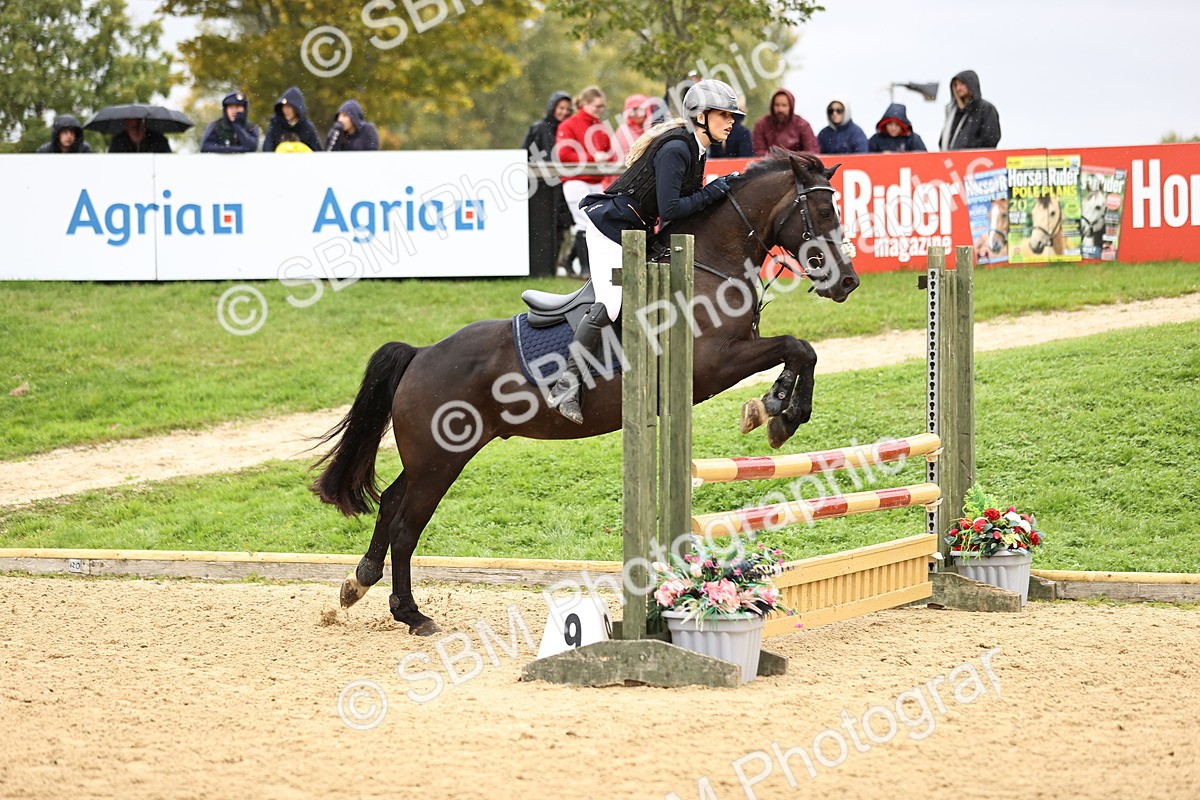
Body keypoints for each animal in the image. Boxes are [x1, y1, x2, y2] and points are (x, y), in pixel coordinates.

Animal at [310, 150, 860, 635]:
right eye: (823, 211)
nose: (848, 282)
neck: (708, 263)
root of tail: (421, 354)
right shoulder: (713, 364)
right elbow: (799, 346)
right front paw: (779, 411)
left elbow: (800, 351)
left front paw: (777, 410)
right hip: (438, 460)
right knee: (406, 526)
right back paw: (412, 614)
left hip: (435, 456)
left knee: (389, 504)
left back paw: (358, 584)